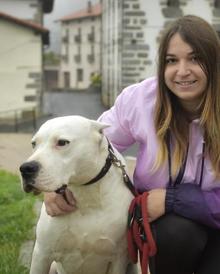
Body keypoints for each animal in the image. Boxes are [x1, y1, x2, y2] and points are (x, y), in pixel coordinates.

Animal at [19, 115, 136, 274]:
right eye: (34, 143)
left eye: (62, 142)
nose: (26, 168)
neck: (85, 194)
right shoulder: (41, 255)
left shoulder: (119, 259)